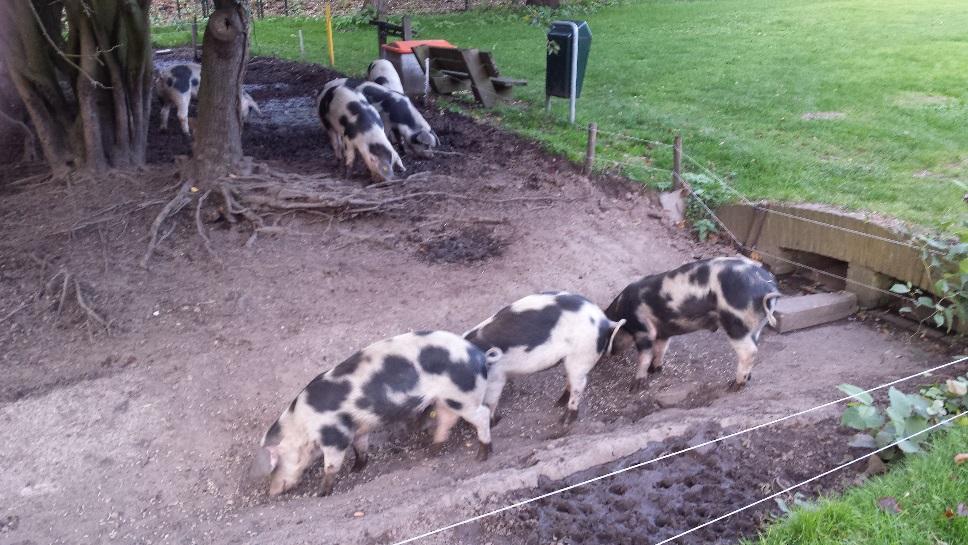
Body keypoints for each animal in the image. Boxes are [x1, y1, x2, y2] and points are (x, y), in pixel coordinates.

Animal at [250, 330, 500, 496]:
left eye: (275, 466)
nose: (271, 492)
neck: (302, 426)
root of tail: (477, 353)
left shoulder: (335, 435)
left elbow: (331, 465)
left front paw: (322, 492)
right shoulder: (359, 427)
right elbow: (361, 446)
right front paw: (357, 468)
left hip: (462, 396)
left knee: (481, 414)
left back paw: (481, 455)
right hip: (446, 399)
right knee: (447, 419)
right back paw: (431, 451)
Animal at [464, 294, 628, 424]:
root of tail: (603, 320)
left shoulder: (496, 378)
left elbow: (491, 402)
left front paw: (492, 422)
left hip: (582, 354)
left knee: (579, 384)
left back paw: (564, 420)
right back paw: (558, 403)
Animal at [608, 255, 784, 392]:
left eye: (610, 335)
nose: (611, 353)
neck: (622, 309)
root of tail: (768, 287)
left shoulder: (643, 328)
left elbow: (644, 355)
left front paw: (636, 387)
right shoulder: (663, 330)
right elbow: (661, 349)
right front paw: (655, 369)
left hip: (736, 321)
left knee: (750, 352)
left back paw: (733, 386)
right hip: (755, 326)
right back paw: (746, 379)